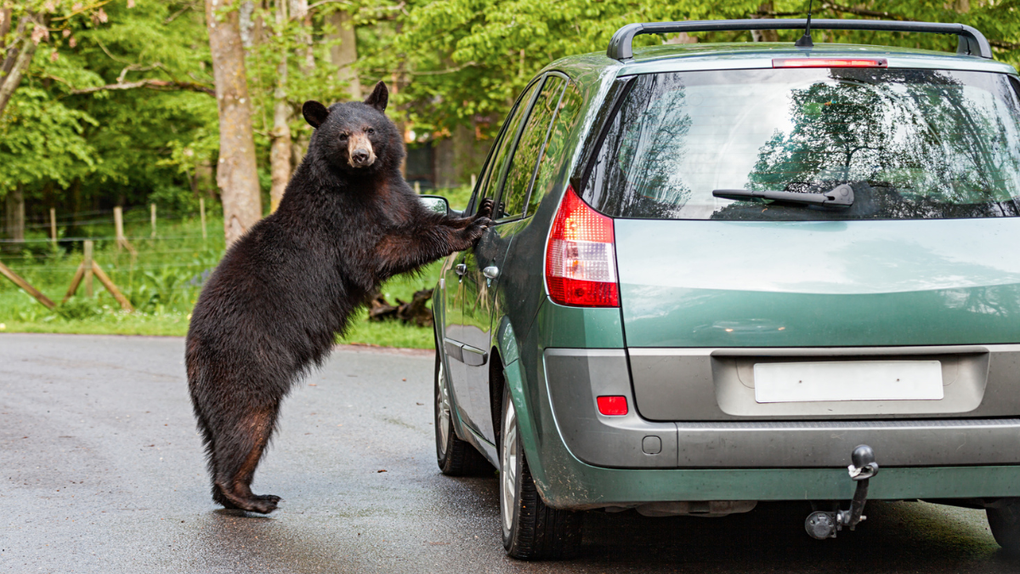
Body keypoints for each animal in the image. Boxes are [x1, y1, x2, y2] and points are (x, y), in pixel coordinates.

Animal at [185, 81, 490, 514]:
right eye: (343, 135)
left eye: (370, 128)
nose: (362, 156)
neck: (365, 183)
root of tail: (192, 345)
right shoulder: (341, 218)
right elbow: (376, 251)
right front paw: (470, 230)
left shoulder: (396, 195)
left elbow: (422, 218)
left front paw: (477, 212)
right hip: (246, 357)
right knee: (246, 420)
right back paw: (250, 496)